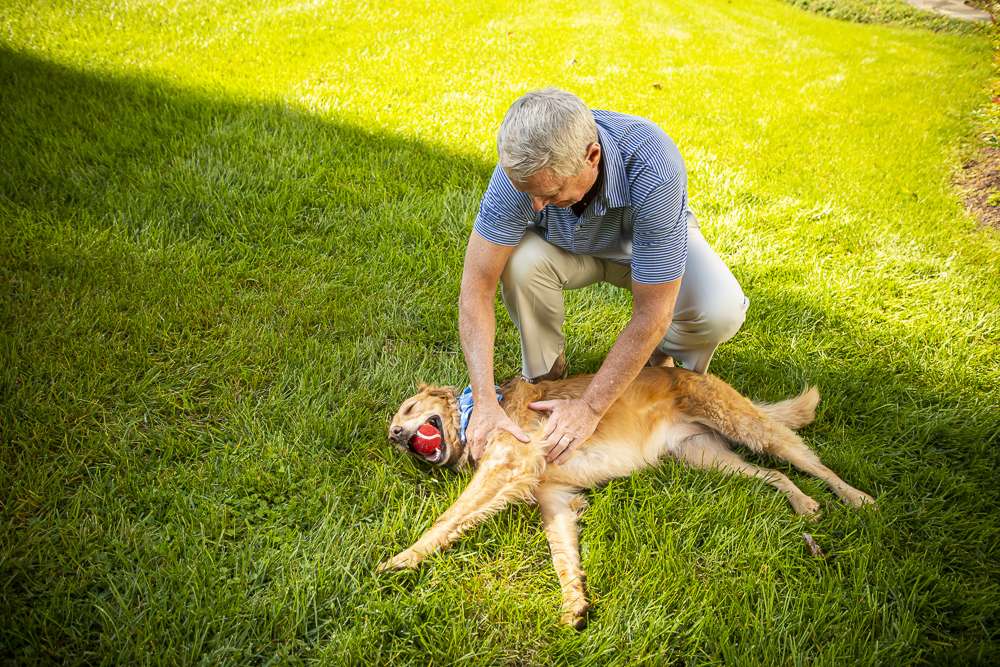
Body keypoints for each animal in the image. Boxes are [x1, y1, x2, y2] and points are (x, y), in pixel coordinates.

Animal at [380, 368, 876, 628]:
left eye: (408, 410)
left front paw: (402, 560)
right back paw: (804, 504)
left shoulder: (507, 468)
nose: (395, 436)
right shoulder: (556, 500)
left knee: (811, 462)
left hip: (746, 426)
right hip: (708, 456)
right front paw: (574, 604)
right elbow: (564, 559)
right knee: (774, 474)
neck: (472, 415)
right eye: (397, 426)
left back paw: (855, 497)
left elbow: (448, 519)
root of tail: (694, 370)